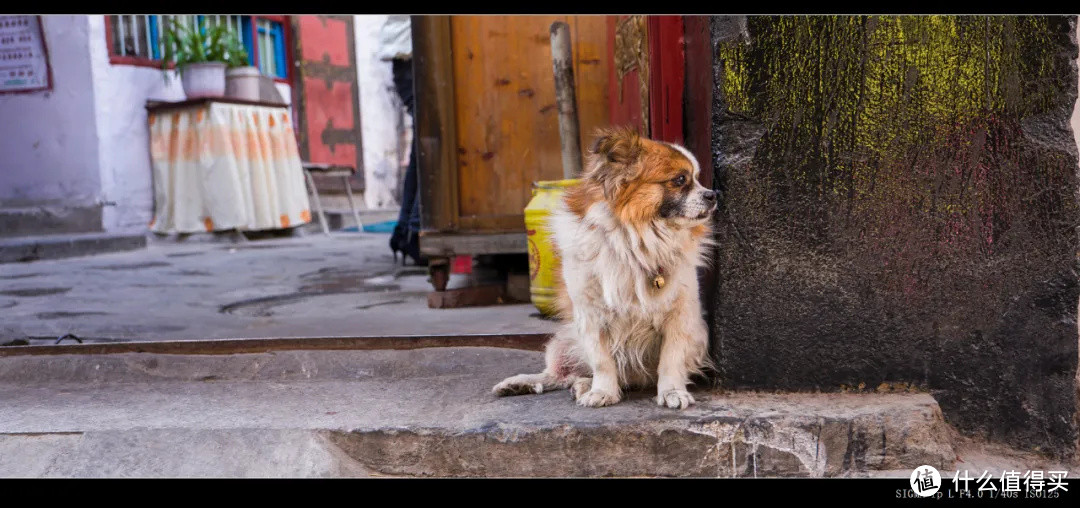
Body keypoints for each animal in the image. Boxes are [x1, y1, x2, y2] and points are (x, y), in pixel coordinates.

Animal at [492, 125, 712, 408]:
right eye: (680, 179)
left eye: (698, 178)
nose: (713, 194)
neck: (636, 240)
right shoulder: (590, 316)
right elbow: (601, 361)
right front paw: (603, 391)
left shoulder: (681, 316)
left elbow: (671, 360)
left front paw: (672, 391)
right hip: (563, 342)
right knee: (558, 376)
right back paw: (530, 383)